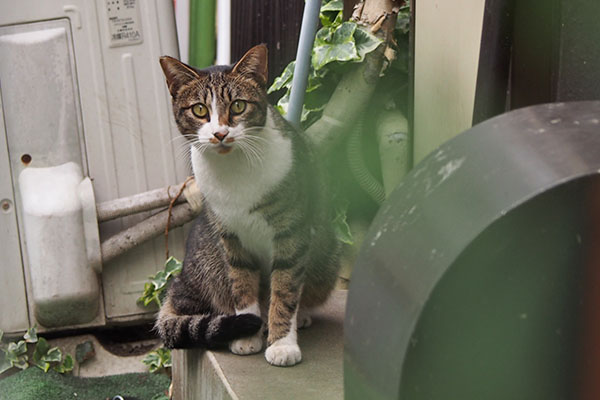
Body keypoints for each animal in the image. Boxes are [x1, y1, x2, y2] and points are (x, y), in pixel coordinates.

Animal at [155, 43, 342, 366]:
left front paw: (282, 344)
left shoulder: (291, 233)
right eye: (200, 110)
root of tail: (177, 282)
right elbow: (242, 287)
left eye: (239, 106)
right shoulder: (231, 237)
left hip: (327, 252)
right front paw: (247, 334)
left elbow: (285, 289)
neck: (233, 171)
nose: (220, 133)